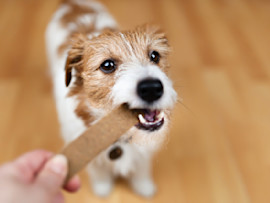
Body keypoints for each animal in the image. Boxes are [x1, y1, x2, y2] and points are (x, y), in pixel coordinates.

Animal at [46, 0, 177, 197]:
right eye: (107, 65)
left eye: (155, 55)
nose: (152, 88)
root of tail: (72, 3)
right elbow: (98, 171)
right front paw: (103, 188)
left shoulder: (144, 152)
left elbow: (142, 169)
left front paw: (144, 187)